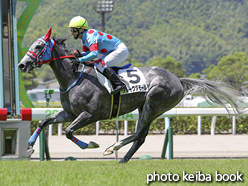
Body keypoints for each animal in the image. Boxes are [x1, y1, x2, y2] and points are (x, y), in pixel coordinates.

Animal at [18, 27, 243, 163]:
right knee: (141, 136)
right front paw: (28, 148)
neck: (75, 76)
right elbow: (43, 122)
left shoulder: (89, 115)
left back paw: (113, 148)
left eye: (39, 46)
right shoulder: (69, 113)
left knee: (140, 133)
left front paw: (91, 144)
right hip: (145, 107)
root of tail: (177, 80)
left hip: (153, 104)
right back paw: (123, 158)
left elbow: (68, 132)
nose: (21, 65)